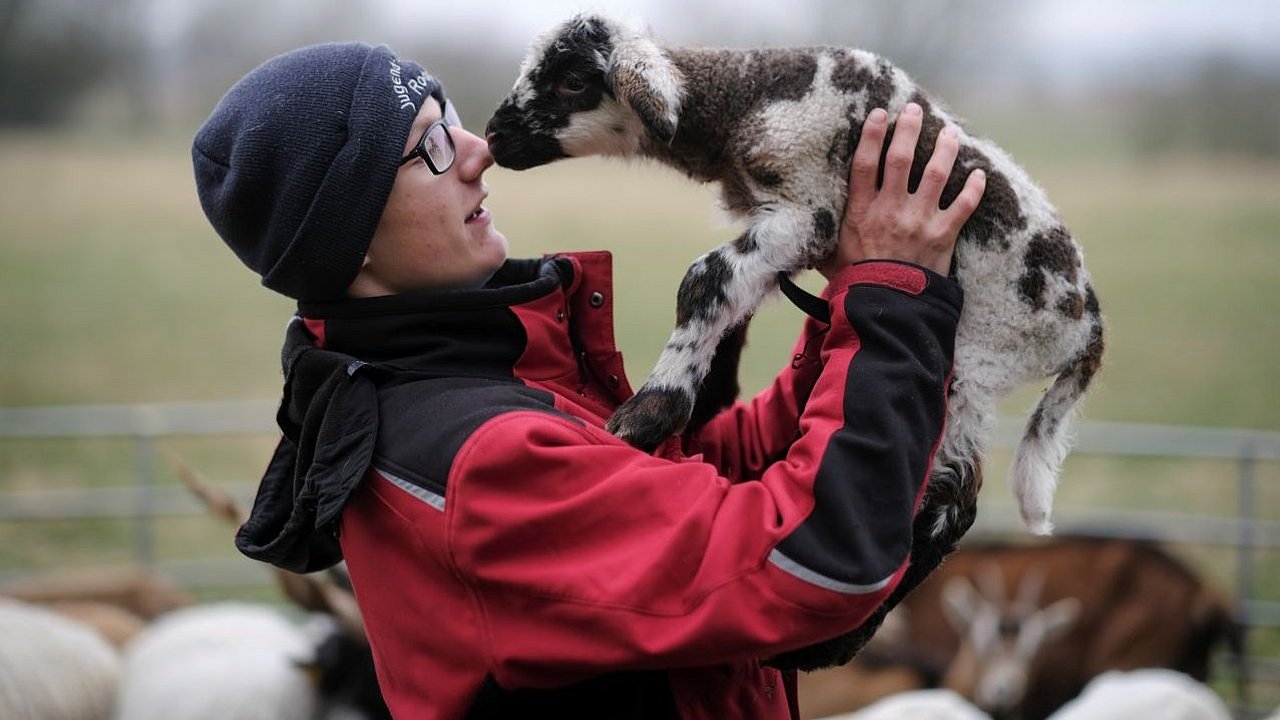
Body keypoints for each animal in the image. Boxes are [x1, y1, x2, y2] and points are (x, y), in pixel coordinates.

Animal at [483, 12, 1105, 548]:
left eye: (572, 81)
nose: (492, 137)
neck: (747, 97)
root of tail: (1089, 332)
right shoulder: (780, 224)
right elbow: (732, 293)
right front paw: (703, 395)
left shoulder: (809, 210)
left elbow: (704, 278)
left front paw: (650, 413)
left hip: (977, 358)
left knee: (950, 499)